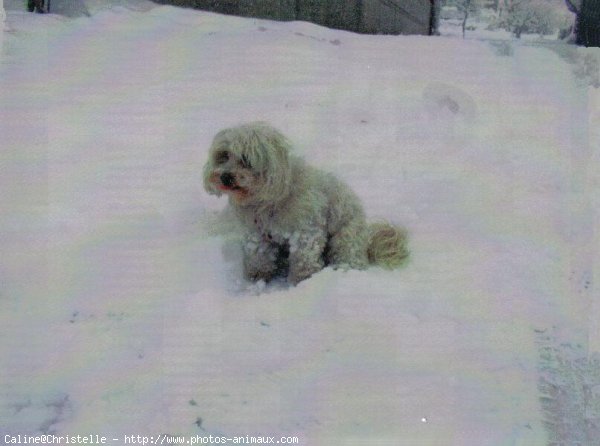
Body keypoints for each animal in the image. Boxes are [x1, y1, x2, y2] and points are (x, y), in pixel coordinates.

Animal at [205, 122, 408, 284]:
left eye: (246, 159)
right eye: (223, 155)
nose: (225, 177)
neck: (269, 199)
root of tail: (367, 240)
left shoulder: (306, 232)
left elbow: (304, 259)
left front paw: (302, 281)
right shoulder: (257, 233)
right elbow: (259, 256)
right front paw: (257, 278)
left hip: (344, 240)